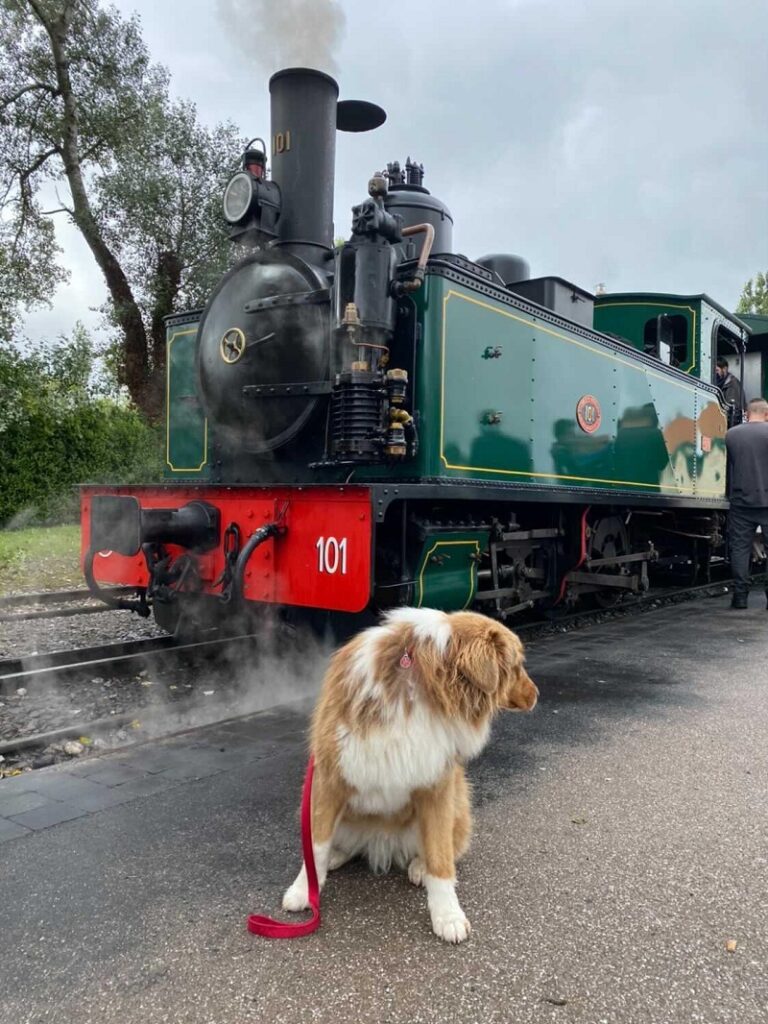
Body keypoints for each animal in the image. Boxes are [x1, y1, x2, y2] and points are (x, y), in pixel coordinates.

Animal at [282, 606, 540, 942]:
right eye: (517, 664)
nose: (537, 694)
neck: (423, 682)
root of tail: (379, 843)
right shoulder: (329, 777)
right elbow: (316, 845)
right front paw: (305, 890)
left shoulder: (436, 783)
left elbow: (441, 856)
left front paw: (447, 915)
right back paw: (336, 858)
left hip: (459, 803)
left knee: (447, 847)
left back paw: (419, 867)